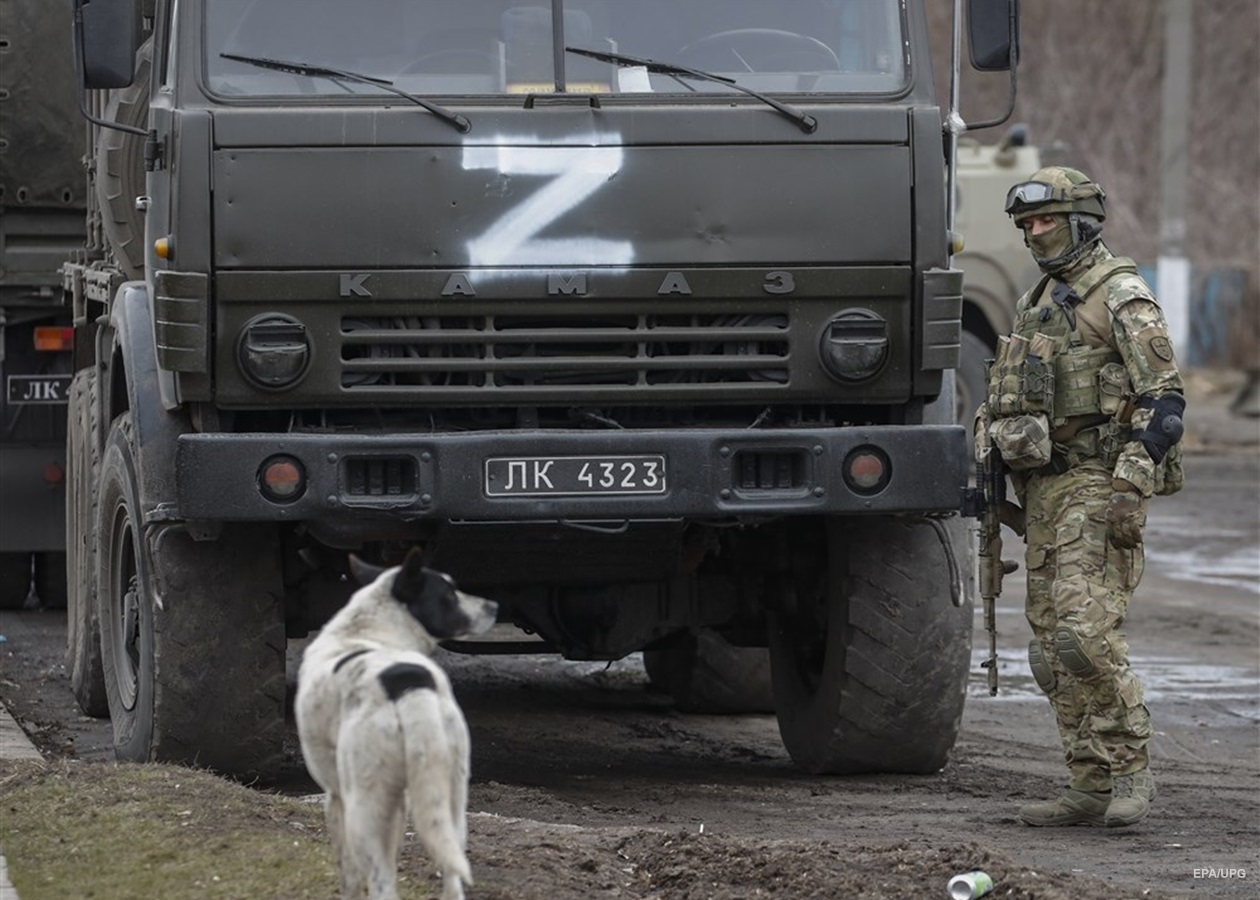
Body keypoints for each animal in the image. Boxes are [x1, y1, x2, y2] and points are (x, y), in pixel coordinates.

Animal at [297, 547, 498, 897]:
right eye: (450, 595)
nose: (495, 606)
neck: (367, 629)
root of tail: (409, 688)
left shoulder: (335, 797)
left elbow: (349, 875)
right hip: (450, 799)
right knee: (451, 873)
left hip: (364, 808)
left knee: (381, 883)